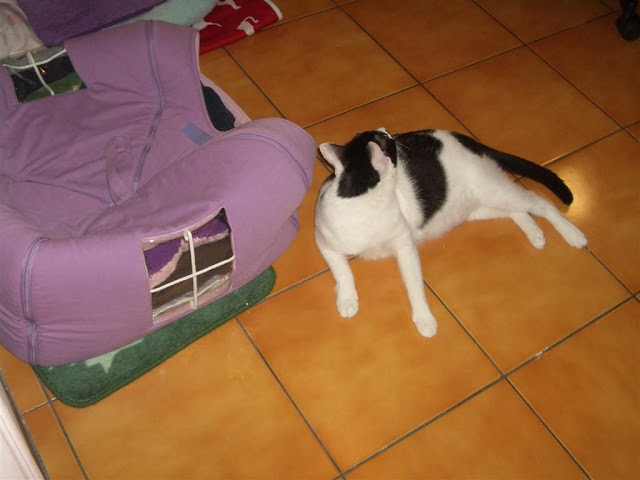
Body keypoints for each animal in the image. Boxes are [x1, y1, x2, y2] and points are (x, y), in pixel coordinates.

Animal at [314, 128, 587, 338]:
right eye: (385, 141)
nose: (388, 130)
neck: (358, 197)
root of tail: (464, 138)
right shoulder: (325, 242)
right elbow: (343, 272)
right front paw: (347, 299)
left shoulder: (405, 248)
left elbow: (414, 285)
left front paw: (424, 319)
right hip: (478, 207)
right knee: (518, 210)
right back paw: (536, 234)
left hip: (493, 191)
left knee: (540, 203)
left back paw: (573, 234)